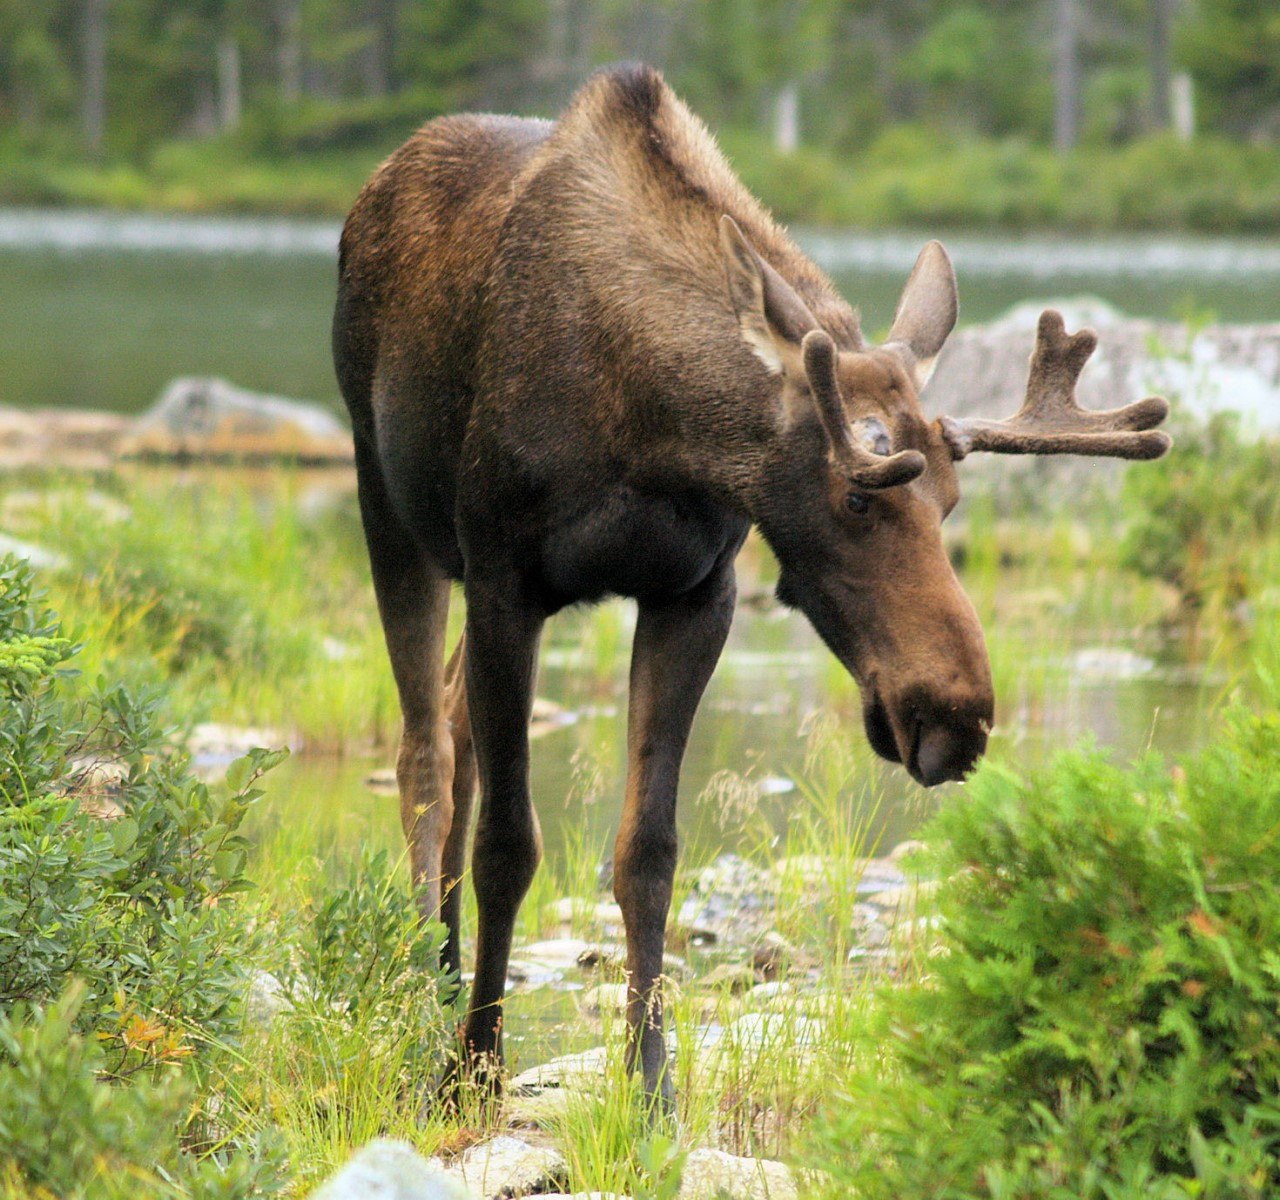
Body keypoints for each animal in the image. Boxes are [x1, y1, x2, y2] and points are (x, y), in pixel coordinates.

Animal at [332, 63, 1172, 1105]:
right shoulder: (504, 579)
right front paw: (475, 1068)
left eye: (952, 499)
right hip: (389, 507)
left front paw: (651, 1083)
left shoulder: (698, 592)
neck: (653, 429)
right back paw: (423, 974)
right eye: (856, 497)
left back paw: (446, 965)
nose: (958, 715)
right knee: (424, 751)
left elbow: (648, 853)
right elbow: (511, 844)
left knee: (450, 718)